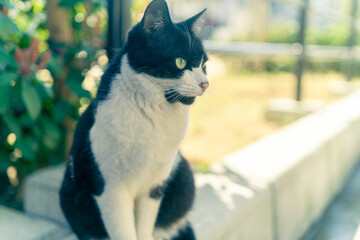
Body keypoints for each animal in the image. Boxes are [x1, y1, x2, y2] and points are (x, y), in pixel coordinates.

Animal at [60, 0, 210, 239]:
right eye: (180, 62)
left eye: (204, 65)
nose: (205, 83)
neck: (154, 114)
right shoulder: (110, 189)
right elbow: (124, 231)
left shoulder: (154, 187)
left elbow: (144, 227)